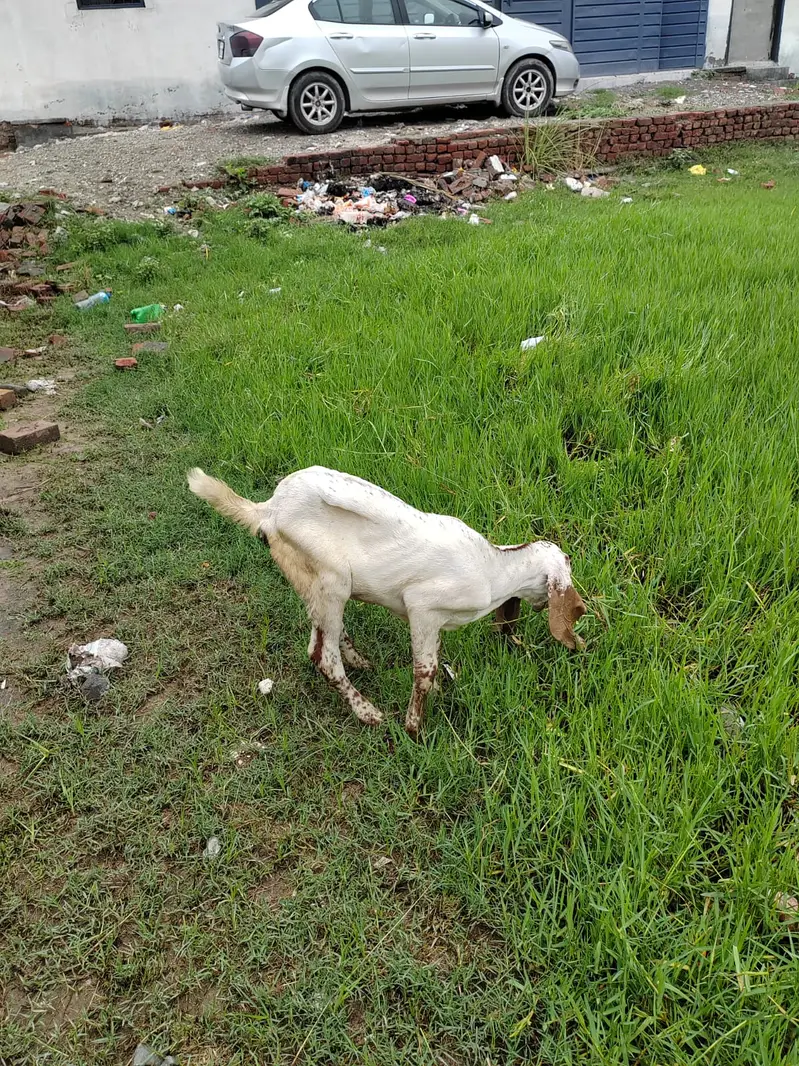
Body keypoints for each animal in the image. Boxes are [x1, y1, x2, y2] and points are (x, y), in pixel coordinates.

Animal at [187, 466, 586, 738]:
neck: (493, 568)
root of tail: (267, 511)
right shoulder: (422, 606)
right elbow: (424, 670)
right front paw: (414, 728)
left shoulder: (434, 621)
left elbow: (435, 658)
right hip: (331, 579)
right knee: (321, 655)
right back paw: (368, 713)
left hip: (311, 582)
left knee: (326, 635)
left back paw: (360, 662)